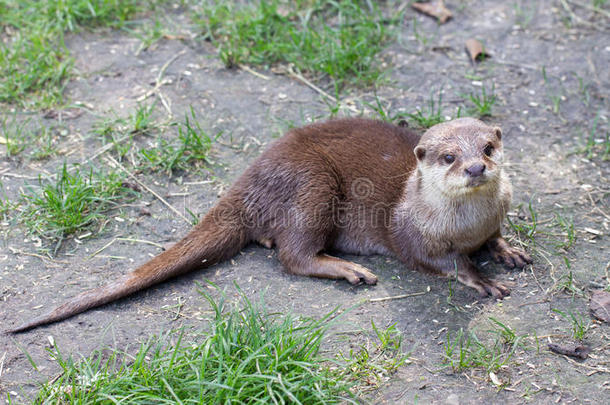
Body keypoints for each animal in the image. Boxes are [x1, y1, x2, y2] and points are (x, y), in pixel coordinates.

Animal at [5, 116, 528, 332]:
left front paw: (507, 250)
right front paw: (479, 278)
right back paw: (347, 269)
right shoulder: (411, 233)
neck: (466, 225)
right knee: (292, 254)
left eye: (487, 148)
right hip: (313, 185)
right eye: (448, 157)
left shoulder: (492, 218)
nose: (475, 168)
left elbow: (495, 236)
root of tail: (248, 181)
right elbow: (437, 260)